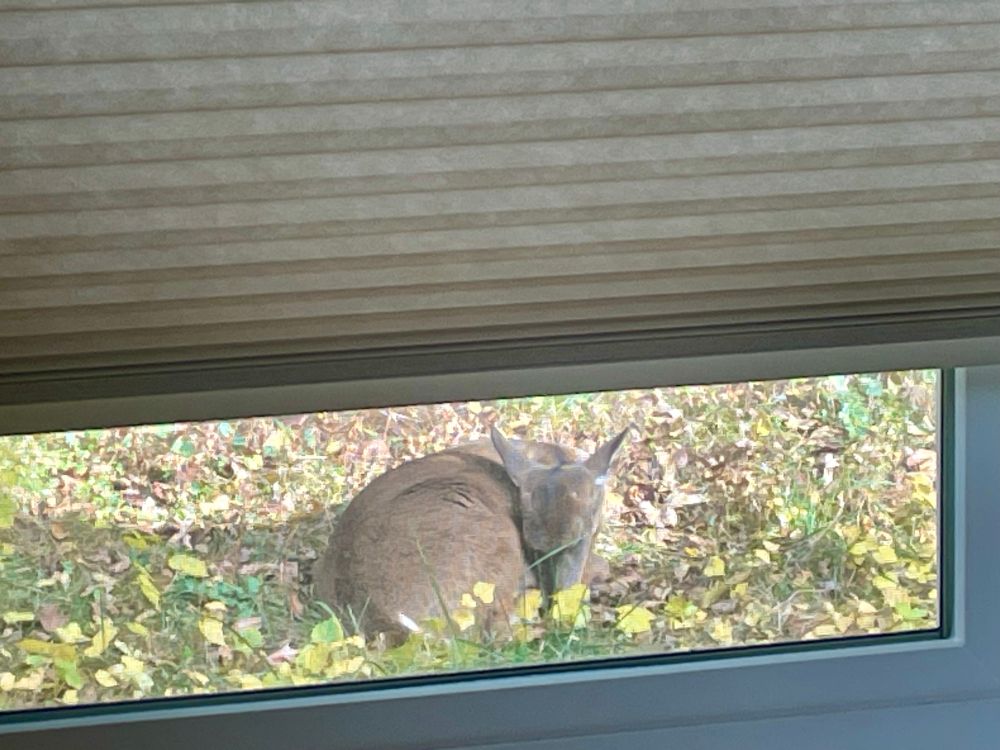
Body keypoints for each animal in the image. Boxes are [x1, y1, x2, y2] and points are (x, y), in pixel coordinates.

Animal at [314, 425, 629, 642]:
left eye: (579, 539)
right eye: (534, 547)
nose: (560, 611)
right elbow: (602, 564)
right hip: (490, 539)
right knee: (496, 629)